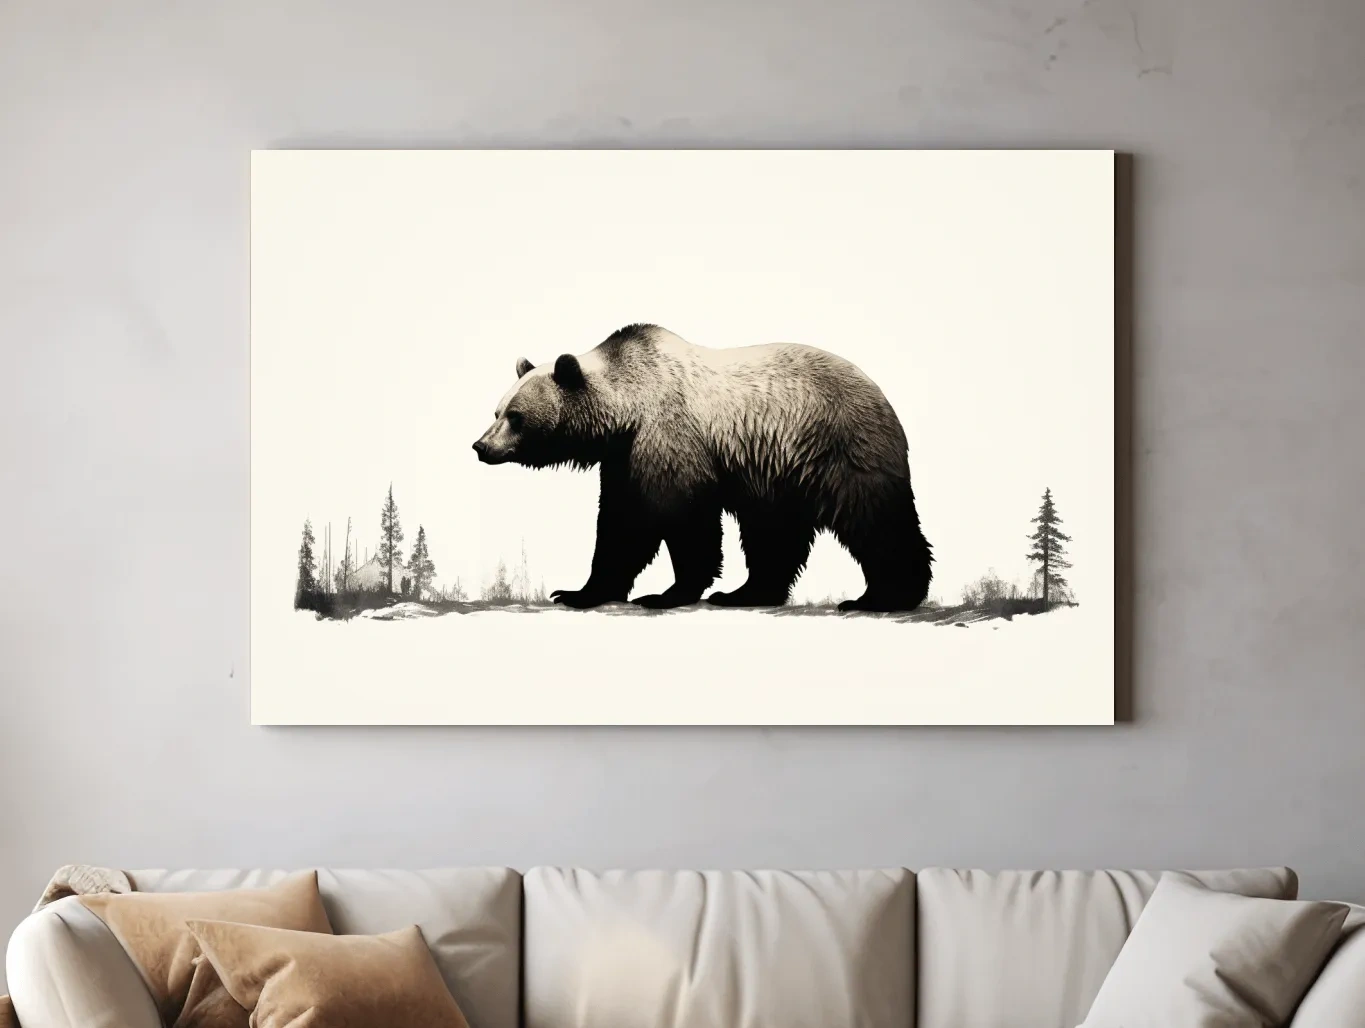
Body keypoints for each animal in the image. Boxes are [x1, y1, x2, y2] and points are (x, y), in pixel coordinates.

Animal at [472, 324, 933, 612]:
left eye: (516, 416)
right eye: (496, 411)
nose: (480, 446)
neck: (626, 412)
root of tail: (879, 392)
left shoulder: (668, 437)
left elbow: (682, 519)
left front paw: (666, 593)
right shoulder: (623, 457)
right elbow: (620, 525)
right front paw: (577, 591)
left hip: (837, 444)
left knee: (873, 517)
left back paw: (883, 596)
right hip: (777, 467)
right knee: (775, 532)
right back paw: (746, 592)